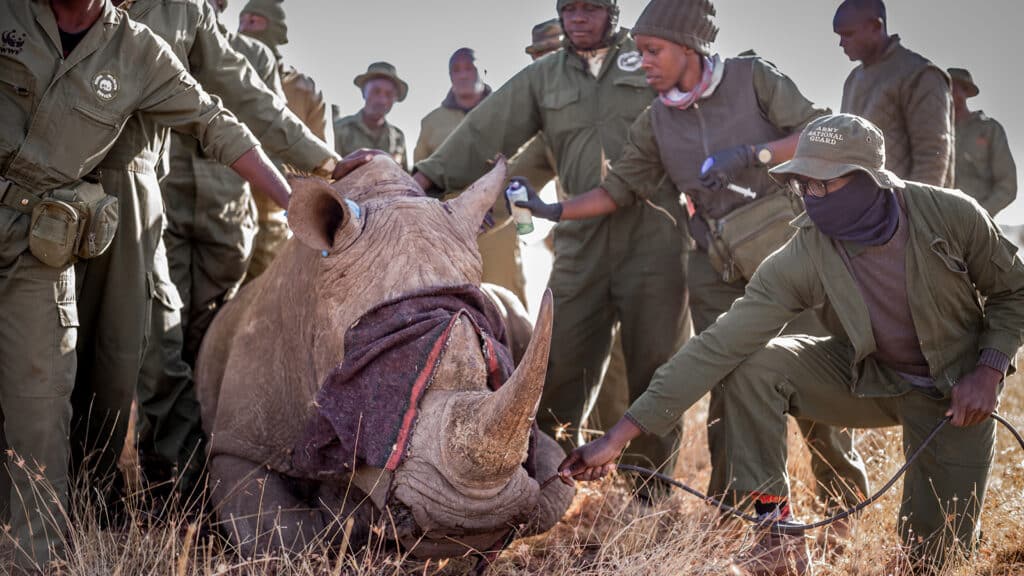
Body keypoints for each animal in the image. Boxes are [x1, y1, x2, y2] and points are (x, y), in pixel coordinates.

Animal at [195, 156, 575, 559]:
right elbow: (280, 533)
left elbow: (553, 492)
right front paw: (348, 522)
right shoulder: (237, 443)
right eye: (381, 381)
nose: (472, 522)